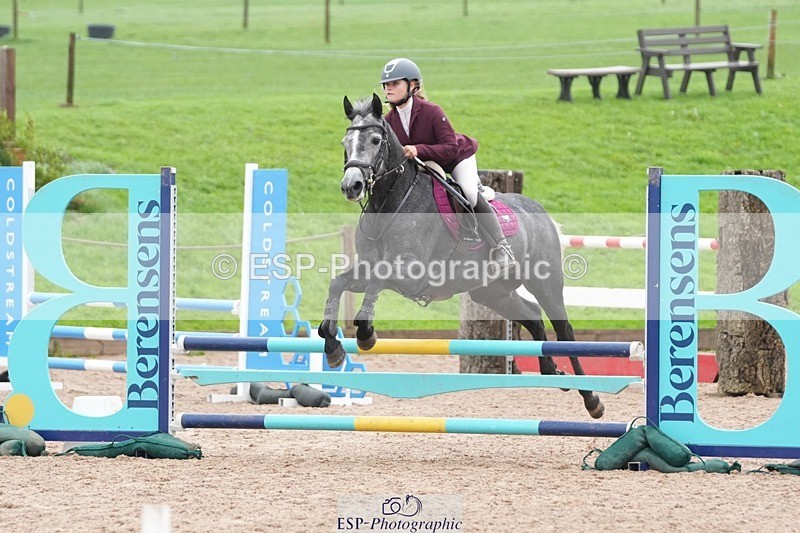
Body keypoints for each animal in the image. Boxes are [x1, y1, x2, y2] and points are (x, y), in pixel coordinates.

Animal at [318, 94, 604, 419]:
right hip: (491, 292)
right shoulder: (368, 266)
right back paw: (552, 371)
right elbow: (338, 283)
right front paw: (333, 348)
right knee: (533, 317)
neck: (390, 202)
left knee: (564, 330)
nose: (351, 186)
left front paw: (366, 334)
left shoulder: (410, 273)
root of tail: (541, 213)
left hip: (546, 283)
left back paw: (592, 399)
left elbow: (376, 284)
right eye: (345, 142)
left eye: (376, 140)